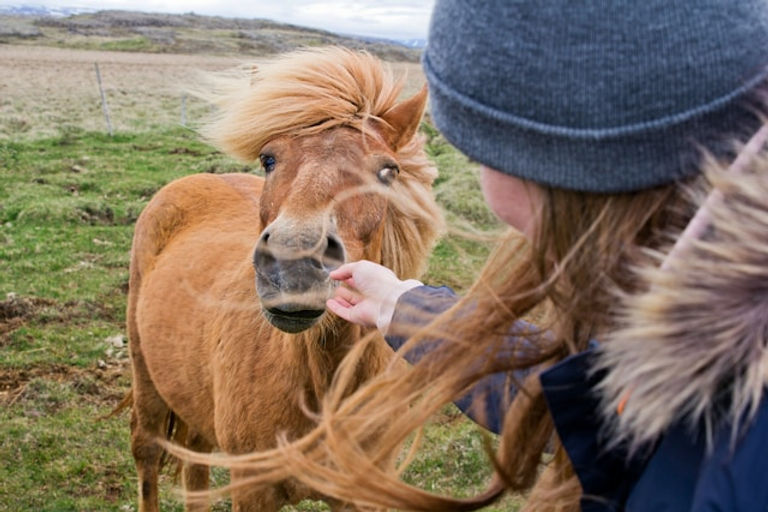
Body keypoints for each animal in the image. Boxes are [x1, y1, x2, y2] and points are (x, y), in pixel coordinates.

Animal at [126, 47, 442, 511]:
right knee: (147, 453)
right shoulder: (252, 486)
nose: (293, 266)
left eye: (388, 171)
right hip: (147, 380)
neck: (323, 390)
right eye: (268, 159)